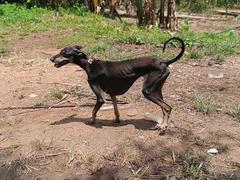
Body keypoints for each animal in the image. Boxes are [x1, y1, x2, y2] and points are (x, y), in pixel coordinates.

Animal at [50, 37, 186, 134]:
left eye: (64, 53)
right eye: (61, 51)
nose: (51, 59)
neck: (89, 65)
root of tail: (164, 62)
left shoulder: (101, 97)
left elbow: (93, 110)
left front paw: (92, 120)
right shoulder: (112, 94)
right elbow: (116, 109)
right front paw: (117, 120)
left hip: (148, 92)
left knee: (168, 108)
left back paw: (163, 127)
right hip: (156, 90)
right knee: (164, 108)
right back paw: (162, 125)